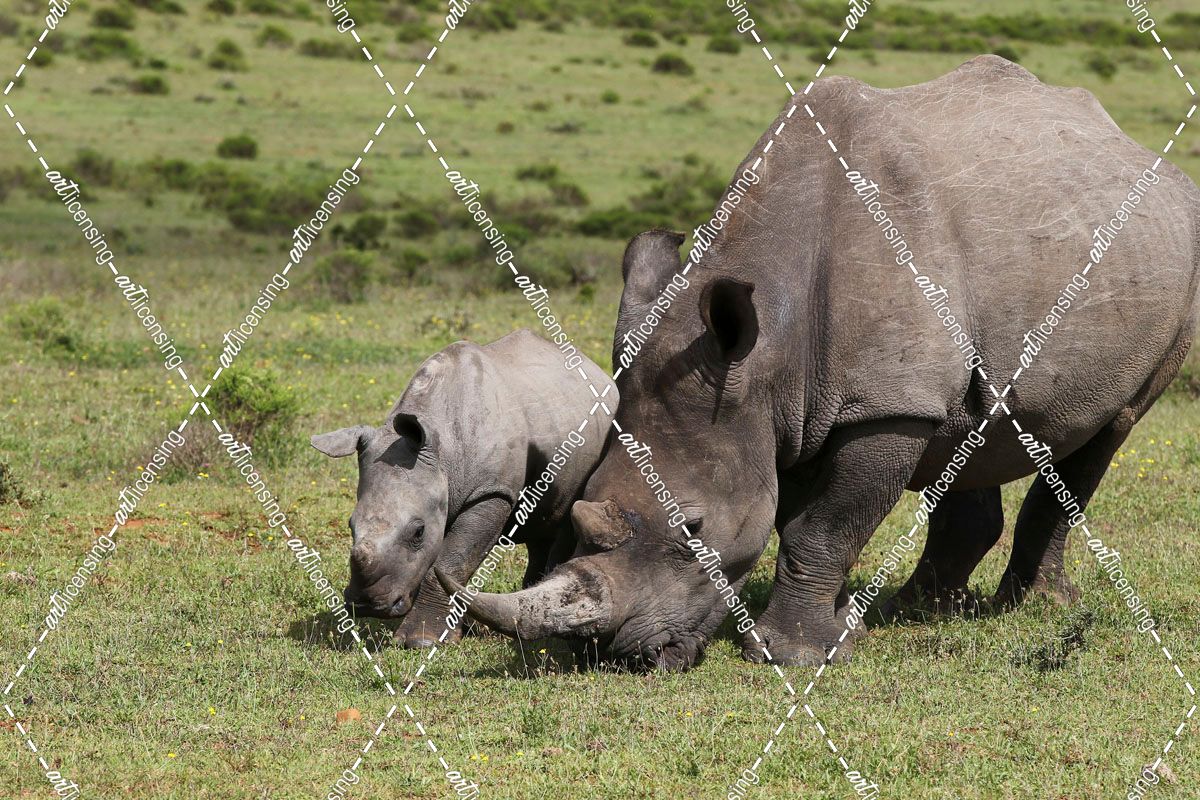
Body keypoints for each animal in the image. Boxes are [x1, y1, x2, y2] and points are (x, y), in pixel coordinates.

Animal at [312, 328, 616, 648]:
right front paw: (458, 632)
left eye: (418, 532)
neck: (441, 450)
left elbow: (451, 561)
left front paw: (423, 641)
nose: (368, 606)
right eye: (350, 525)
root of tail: (596, 369)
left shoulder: (490, 492)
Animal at [439, 56, 1199, 670]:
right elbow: (798, 520)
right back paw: (919, 609)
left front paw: (790, 654)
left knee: (1107, 430)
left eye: (694, 530)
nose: (622, 655)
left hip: (1175, 267)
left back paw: (1034, 606)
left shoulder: (884, 406)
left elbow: (822, 527)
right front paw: (837, 632)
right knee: (969, 426)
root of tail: (1139, 152)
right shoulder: (789, 408)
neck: (768, 351)